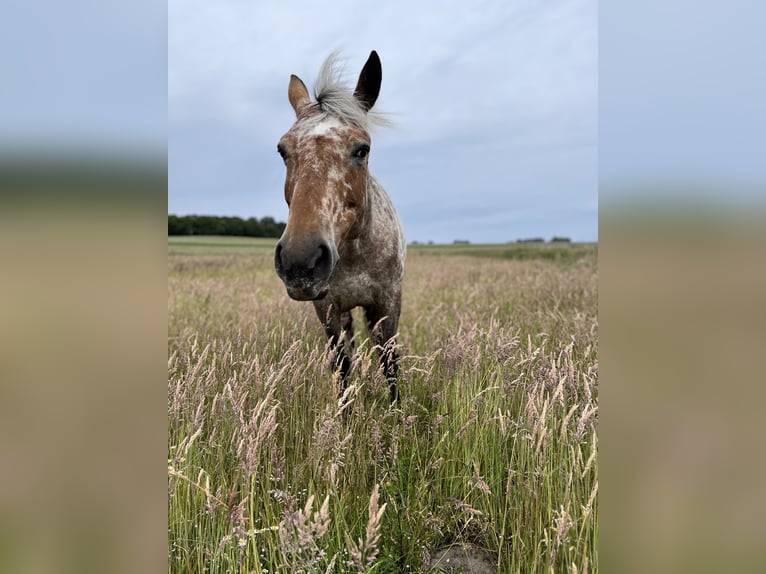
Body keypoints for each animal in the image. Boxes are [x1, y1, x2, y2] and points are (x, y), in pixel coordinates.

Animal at [276, 53, 408, 404]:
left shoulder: (388, 303)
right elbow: (341, 367)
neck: (355, 252)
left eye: (362, 149)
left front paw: (396, 412)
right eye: (283, 150)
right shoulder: (327, 309)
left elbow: (390, 363)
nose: (300, 261)